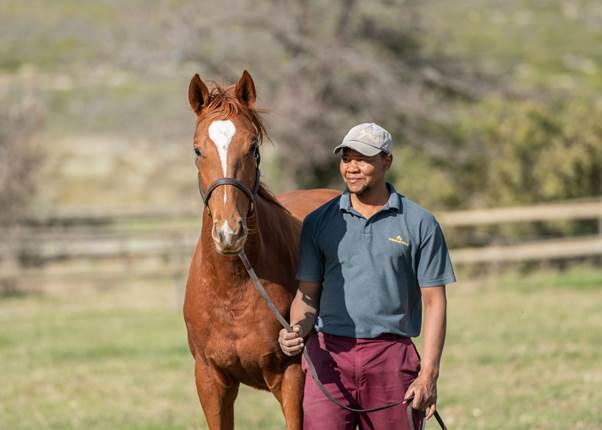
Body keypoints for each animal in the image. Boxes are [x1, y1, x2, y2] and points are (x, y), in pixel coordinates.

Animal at [183, 69, 338, 428]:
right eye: (197, 150)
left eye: (253, 147)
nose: (229, 232)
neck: (233, 292)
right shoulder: (211, 382)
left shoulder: (292, 378)